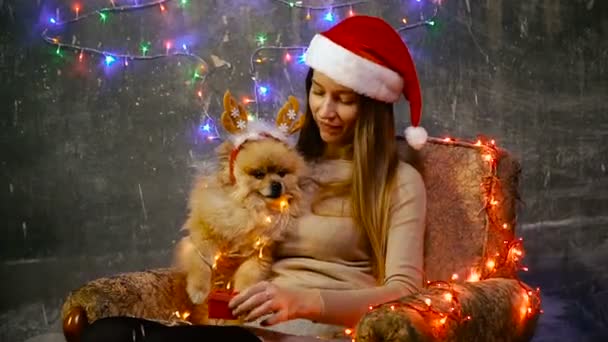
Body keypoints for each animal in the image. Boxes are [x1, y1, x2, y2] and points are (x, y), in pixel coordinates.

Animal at [173, 91, 306, 312]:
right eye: (259, 174)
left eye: (281, 174)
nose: (277, 184)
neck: (249, 210)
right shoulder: (200, 242)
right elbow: (202, 264)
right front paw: (198, 291)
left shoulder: (260, 253)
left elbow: (248, 274)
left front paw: (243, 296)